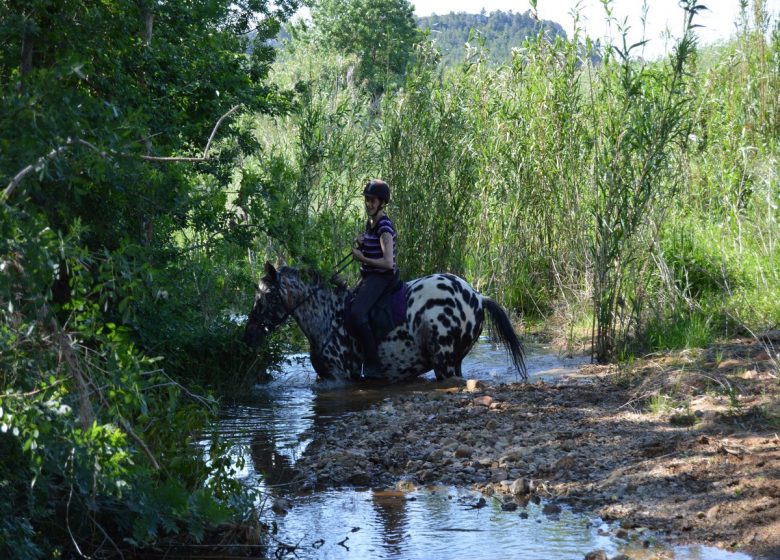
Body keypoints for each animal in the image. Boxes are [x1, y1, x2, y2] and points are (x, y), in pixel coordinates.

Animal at [247, 264, 528, 382]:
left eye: (268, 295)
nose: (248, 334)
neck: (326, 317)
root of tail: (478, 296)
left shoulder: (340, 377)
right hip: (454, 362)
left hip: (444, 361)